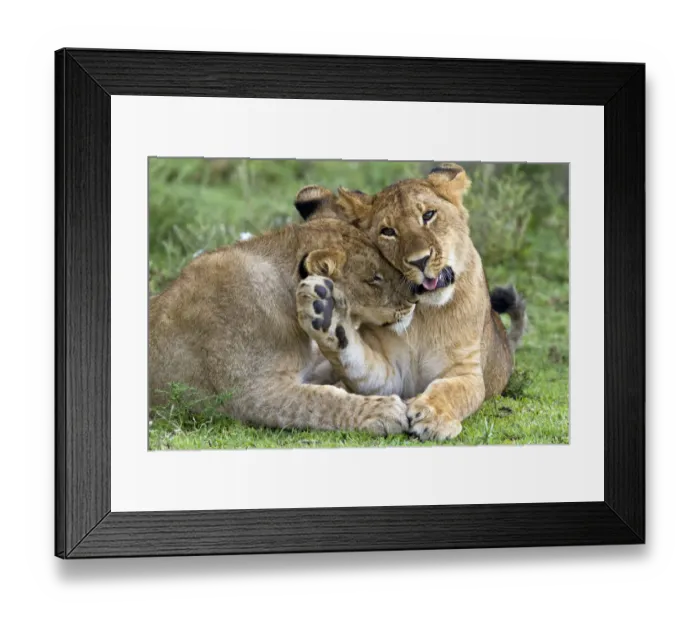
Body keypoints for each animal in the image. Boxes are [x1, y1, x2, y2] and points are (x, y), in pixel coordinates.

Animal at [294, 164, 528, 441]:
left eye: (429, 215)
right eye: (388, 232)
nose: (420, 260)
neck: (425, 315)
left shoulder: (466, 371)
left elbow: (451, 389)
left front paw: (432, 416)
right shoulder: (388, 372)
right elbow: (354, 357)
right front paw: (325, 318)